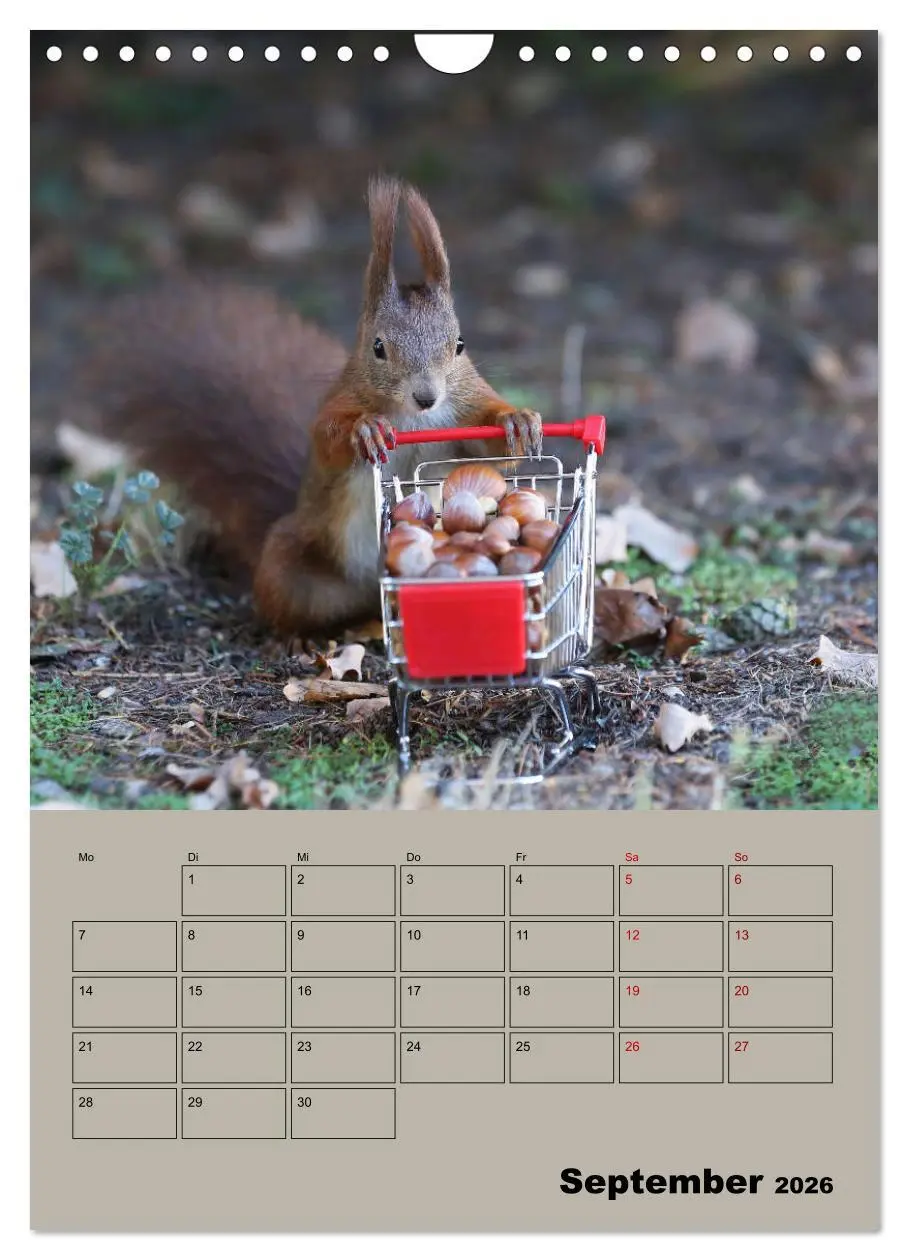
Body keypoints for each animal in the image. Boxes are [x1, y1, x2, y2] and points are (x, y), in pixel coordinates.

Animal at [84, 175, 544, 637]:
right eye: (378, 347)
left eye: (460, 345)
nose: (426, 397)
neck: (416, 419)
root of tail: (370, 588)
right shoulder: (340, 401)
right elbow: (329, 439)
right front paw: (365, 429)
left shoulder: (464, 408)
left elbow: (493, 456)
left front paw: (517, 421)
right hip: (290, 562)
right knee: (284, 607)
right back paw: (296, 640)